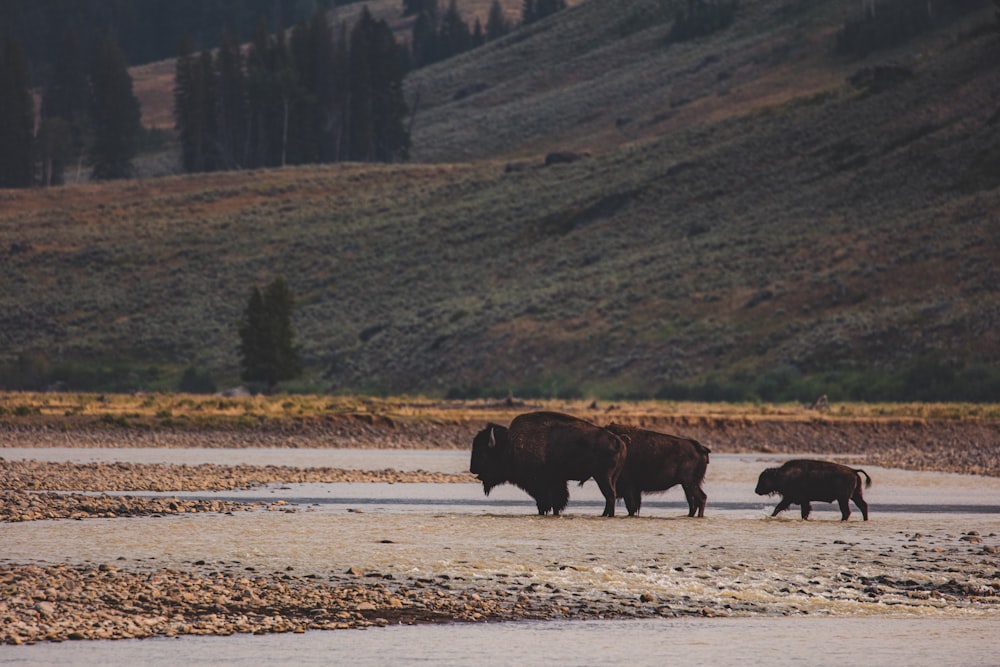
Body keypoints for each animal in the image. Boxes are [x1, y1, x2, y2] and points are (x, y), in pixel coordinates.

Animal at [468, 412, 624, 516]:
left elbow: (546, 501)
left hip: (602, 477)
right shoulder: (556, 482)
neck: (508, 444)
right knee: (611, 495)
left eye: (482, 452)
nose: (472, 468)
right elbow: (556, 502)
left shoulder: (541, 484)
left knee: (610, 495)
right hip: (610, 477)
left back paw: (606, 515)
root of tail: (617, 440)